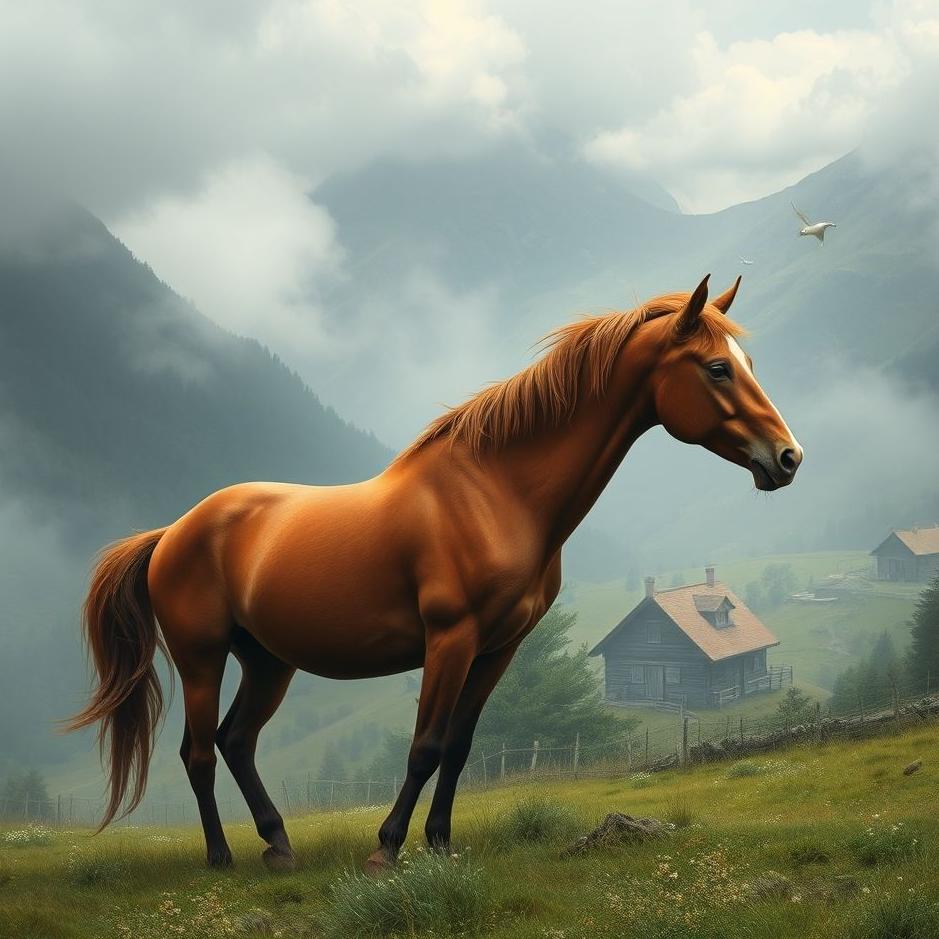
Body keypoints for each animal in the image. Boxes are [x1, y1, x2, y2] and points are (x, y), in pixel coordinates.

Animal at [68, 274, 802, 872]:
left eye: (747, 363)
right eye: (716, 368)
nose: (787, 457)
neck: (494, 494)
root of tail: (173, 532)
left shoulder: (498, 647)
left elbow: (459, 743)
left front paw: (441, 842)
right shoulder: (450, 639)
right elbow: (424, 745)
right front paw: (387, 846)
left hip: (268, 661)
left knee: (236, 741)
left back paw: (278, 843)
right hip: (203, 657)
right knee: (198, 752)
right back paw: (221, 856)